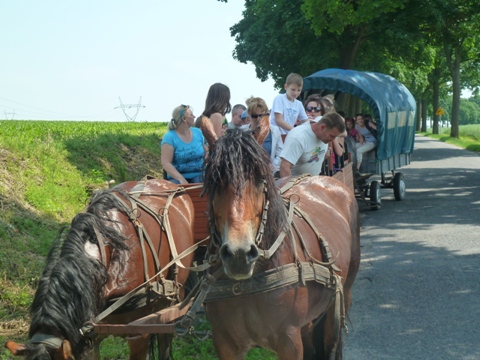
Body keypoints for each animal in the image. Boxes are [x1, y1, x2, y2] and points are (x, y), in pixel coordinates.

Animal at [199, 116, 360, 360]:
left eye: (260, 179)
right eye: (214, 180)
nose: (239, 254)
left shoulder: (289, 341)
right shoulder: (224, 344)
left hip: (342, 297)